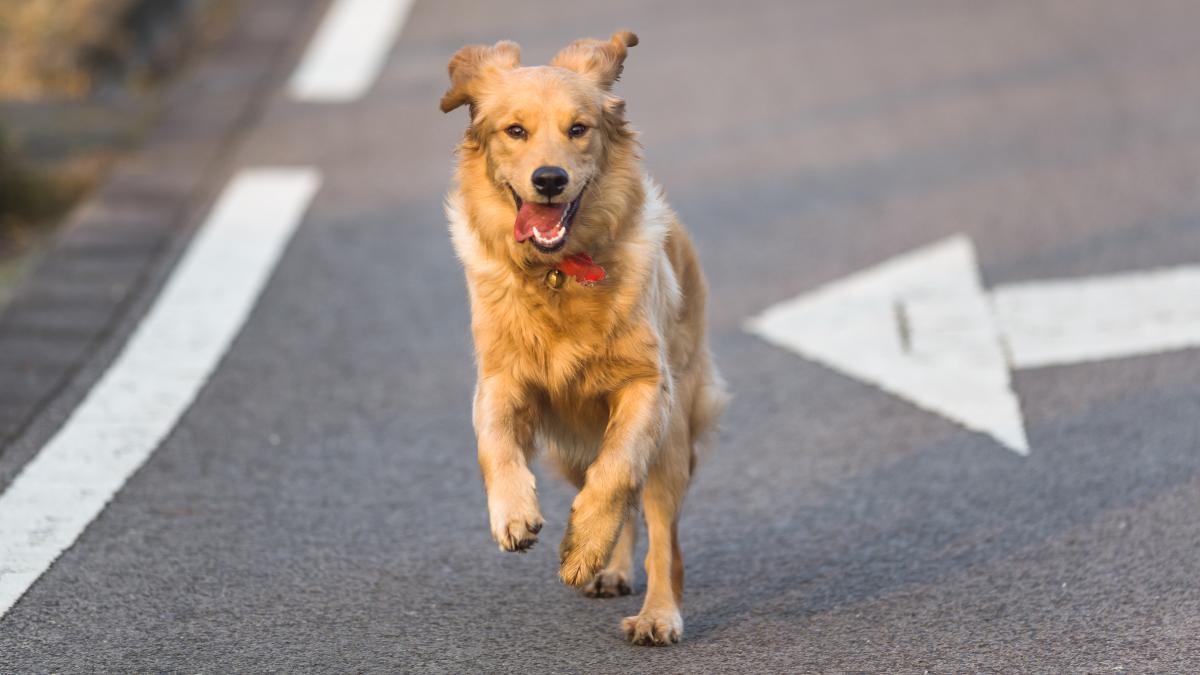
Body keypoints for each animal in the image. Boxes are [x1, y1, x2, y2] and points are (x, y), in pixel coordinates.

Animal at [439, 32, 720, 648]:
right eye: (514, 130)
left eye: (578, 128)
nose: (549, 179)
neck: (557, 274)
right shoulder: (499, 379)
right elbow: (493, 443)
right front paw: (513, 514)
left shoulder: (647, 387)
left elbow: (615, 475)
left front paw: (584, 546)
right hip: (566, 451)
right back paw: (610, 570)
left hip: (671, 438)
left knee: (658, 531)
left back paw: (655, 613)